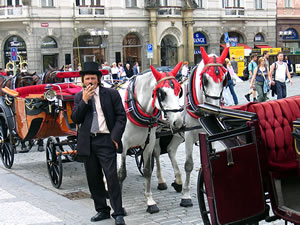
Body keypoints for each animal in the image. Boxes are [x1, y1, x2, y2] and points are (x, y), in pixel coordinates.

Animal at [117, 62, 183, 214]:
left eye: (179, 91)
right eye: (162, 93)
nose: (177, 122)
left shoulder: (149, 143)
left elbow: (147, 171)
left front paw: (150, 202)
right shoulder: (121, 145)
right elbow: (121, 174)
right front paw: (119, 206)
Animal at [154, 47, 229, 207]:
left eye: (225, 79)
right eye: (205, 79)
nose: (213, 109)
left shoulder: (208, 135)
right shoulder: (188, 136)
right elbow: (189, 164)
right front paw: (186, 196)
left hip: (177, 132)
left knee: (170, 149)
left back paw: (178, 181)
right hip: (156, 132)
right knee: (156, 152)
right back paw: (161, 181)